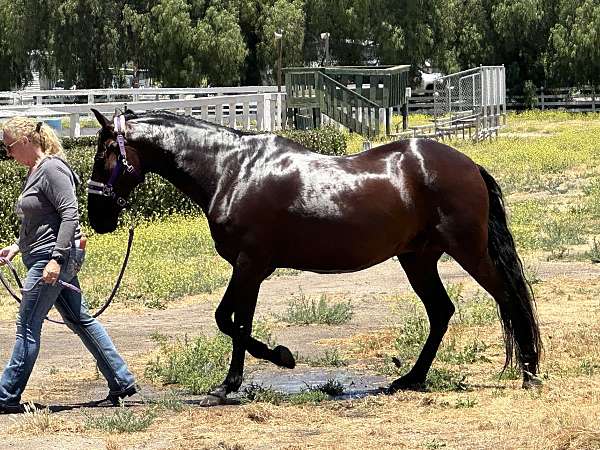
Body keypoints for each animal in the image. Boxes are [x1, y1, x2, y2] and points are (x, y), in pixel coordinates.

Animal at [89, 110, 544, 404]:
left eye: (104, 152)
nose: (97, 216)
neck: (231, 171)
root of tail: (469, 165)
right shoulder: (251, 269)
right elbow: (236, 322)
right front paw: (250, 373)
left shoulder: (249, 264)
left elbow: (229, 321)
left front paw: (252, 372)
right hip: (417, 259)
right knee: (441, 312)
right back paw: (411, 379)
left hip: (468, 251)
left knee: (509, 298)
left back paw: (529, 372)